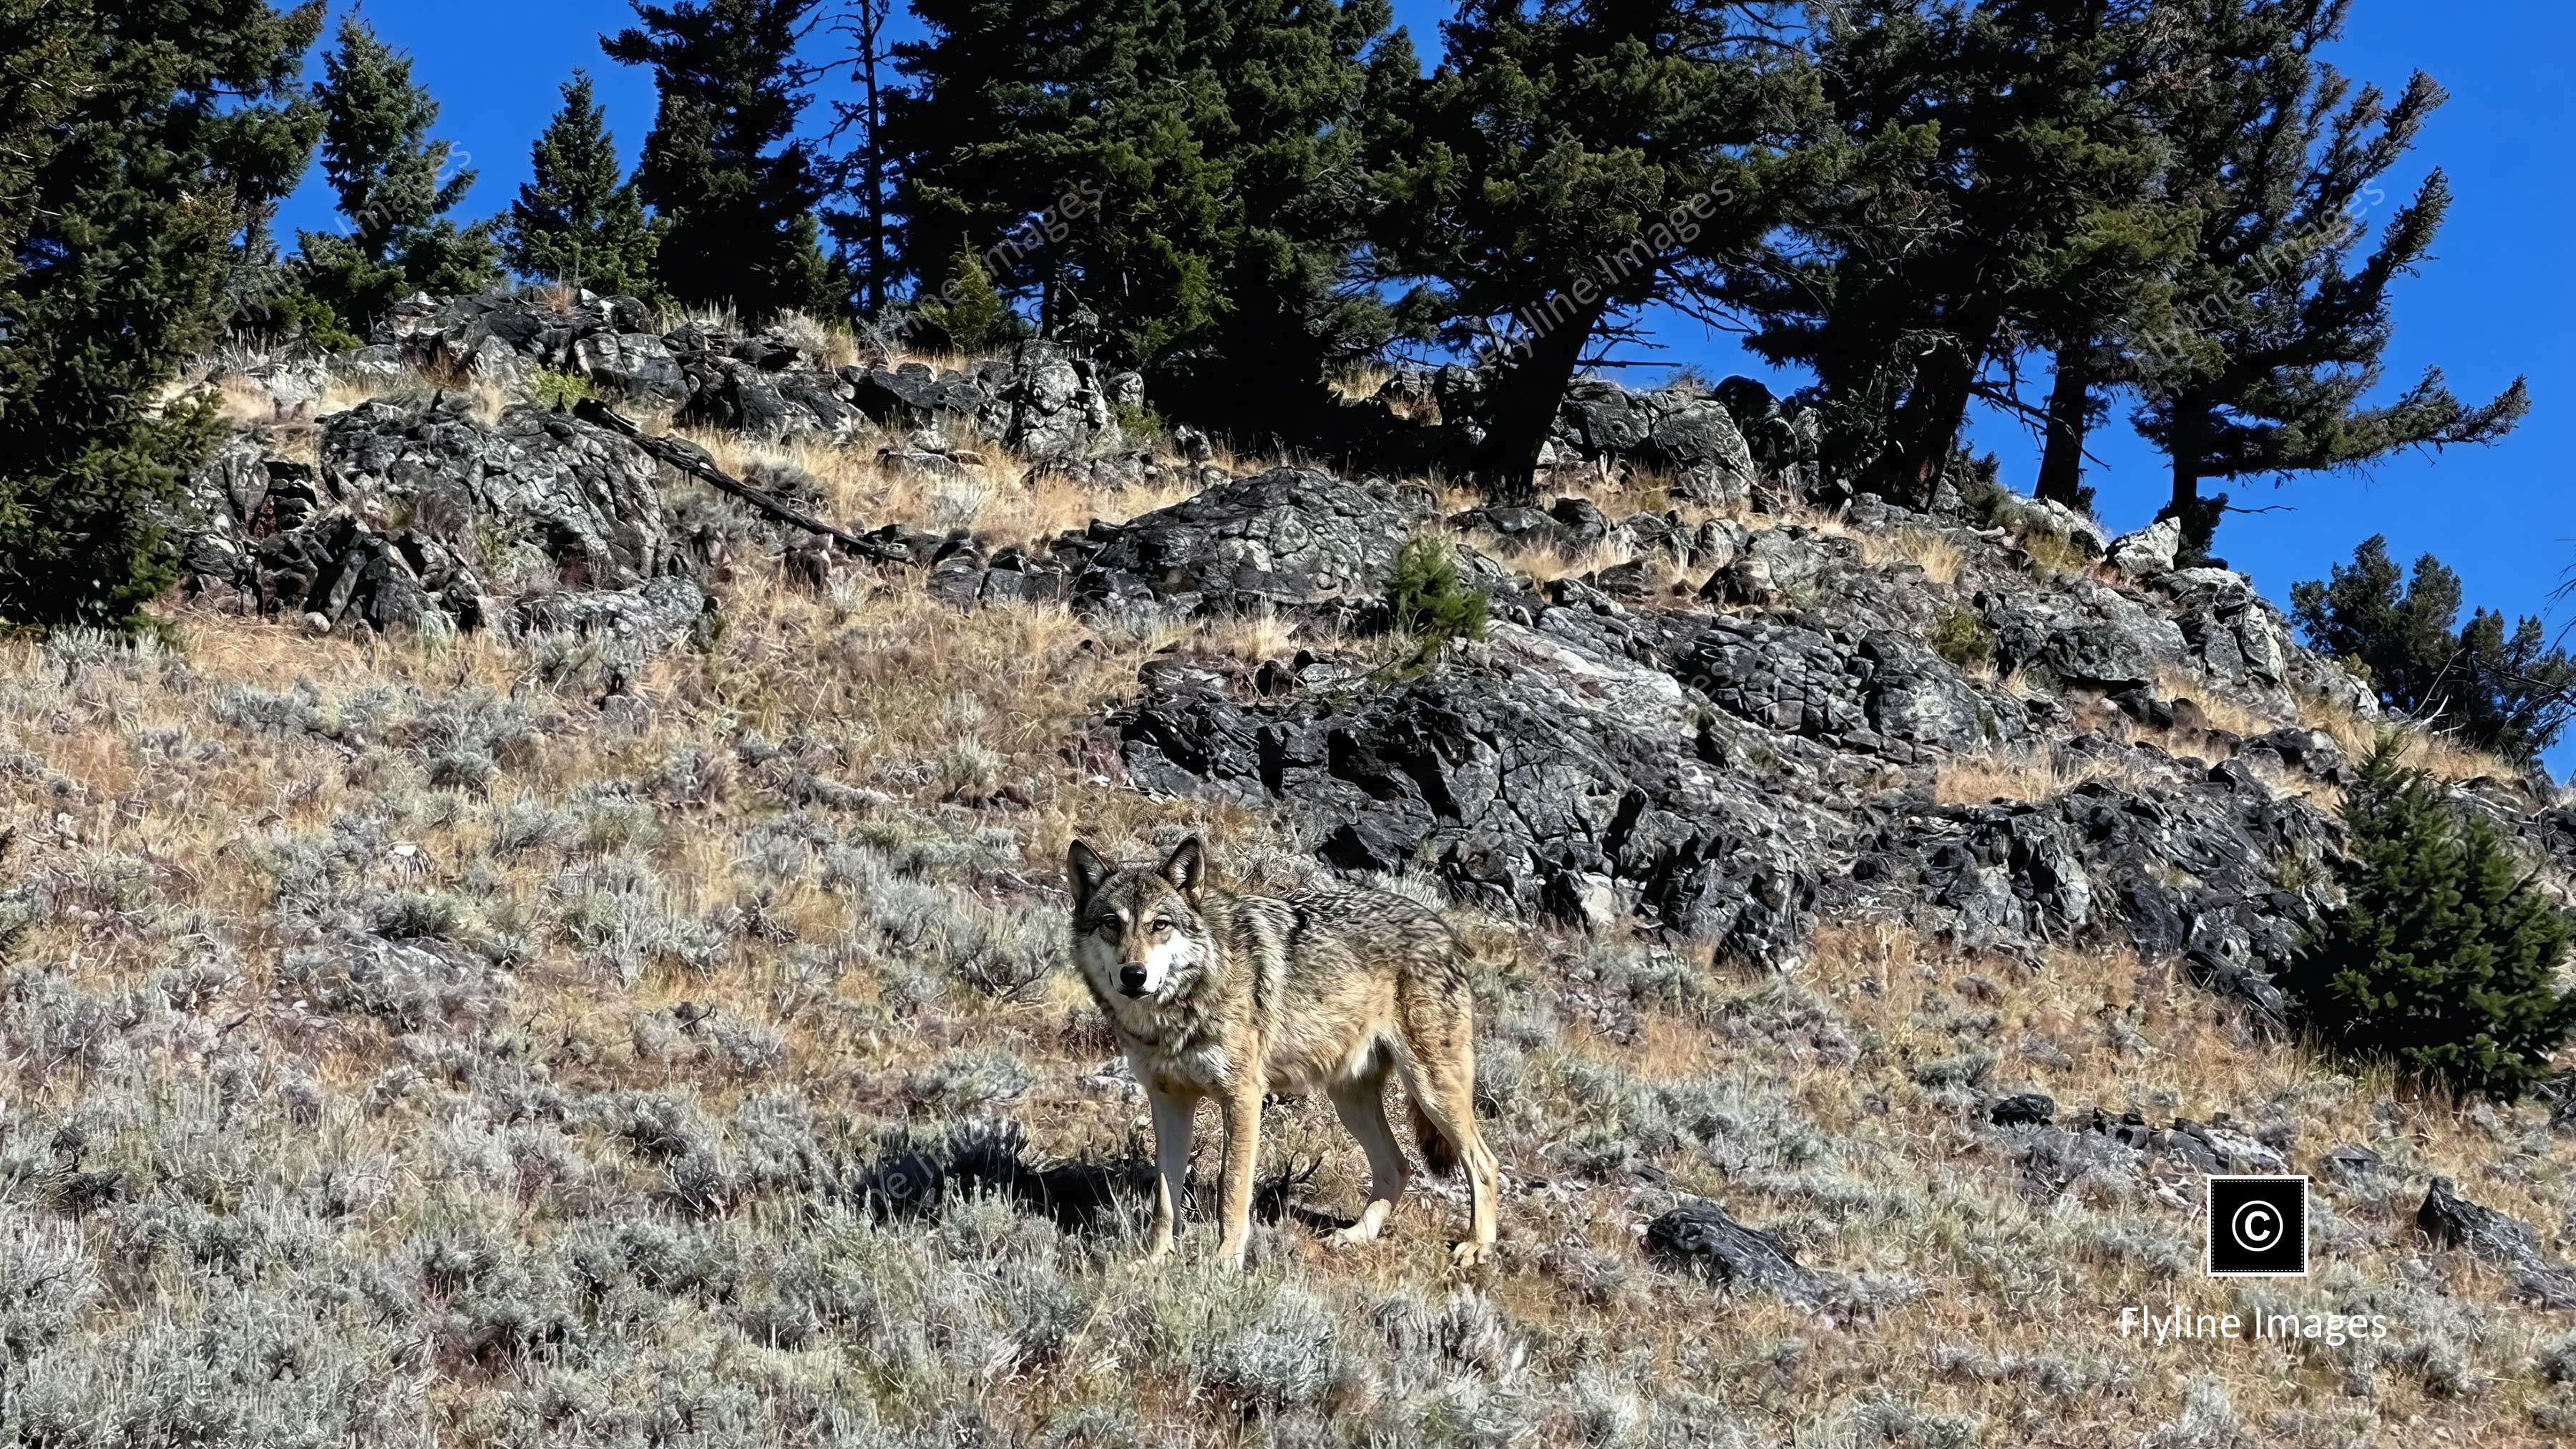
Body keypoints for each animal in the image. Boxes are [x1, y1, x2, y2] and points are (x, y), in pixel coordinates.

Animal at [1065, 835, 1500, 1268]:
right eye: (1111, 924)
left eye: (1160, 925)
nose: (1133, 975)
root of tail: (1440, 924)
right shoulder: (1168, 1099)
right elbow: (1165, 1196)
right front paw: (1155, 1260)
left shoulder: (1243, 1097)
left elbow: (1232, 1189)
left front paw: (1224, 1264)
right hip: (1351, 1102)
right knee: (1397, 1166)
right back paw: (1357, 1235)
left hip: (1431, 1091)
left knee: (1483, 1161)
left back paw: (1477, 1245)